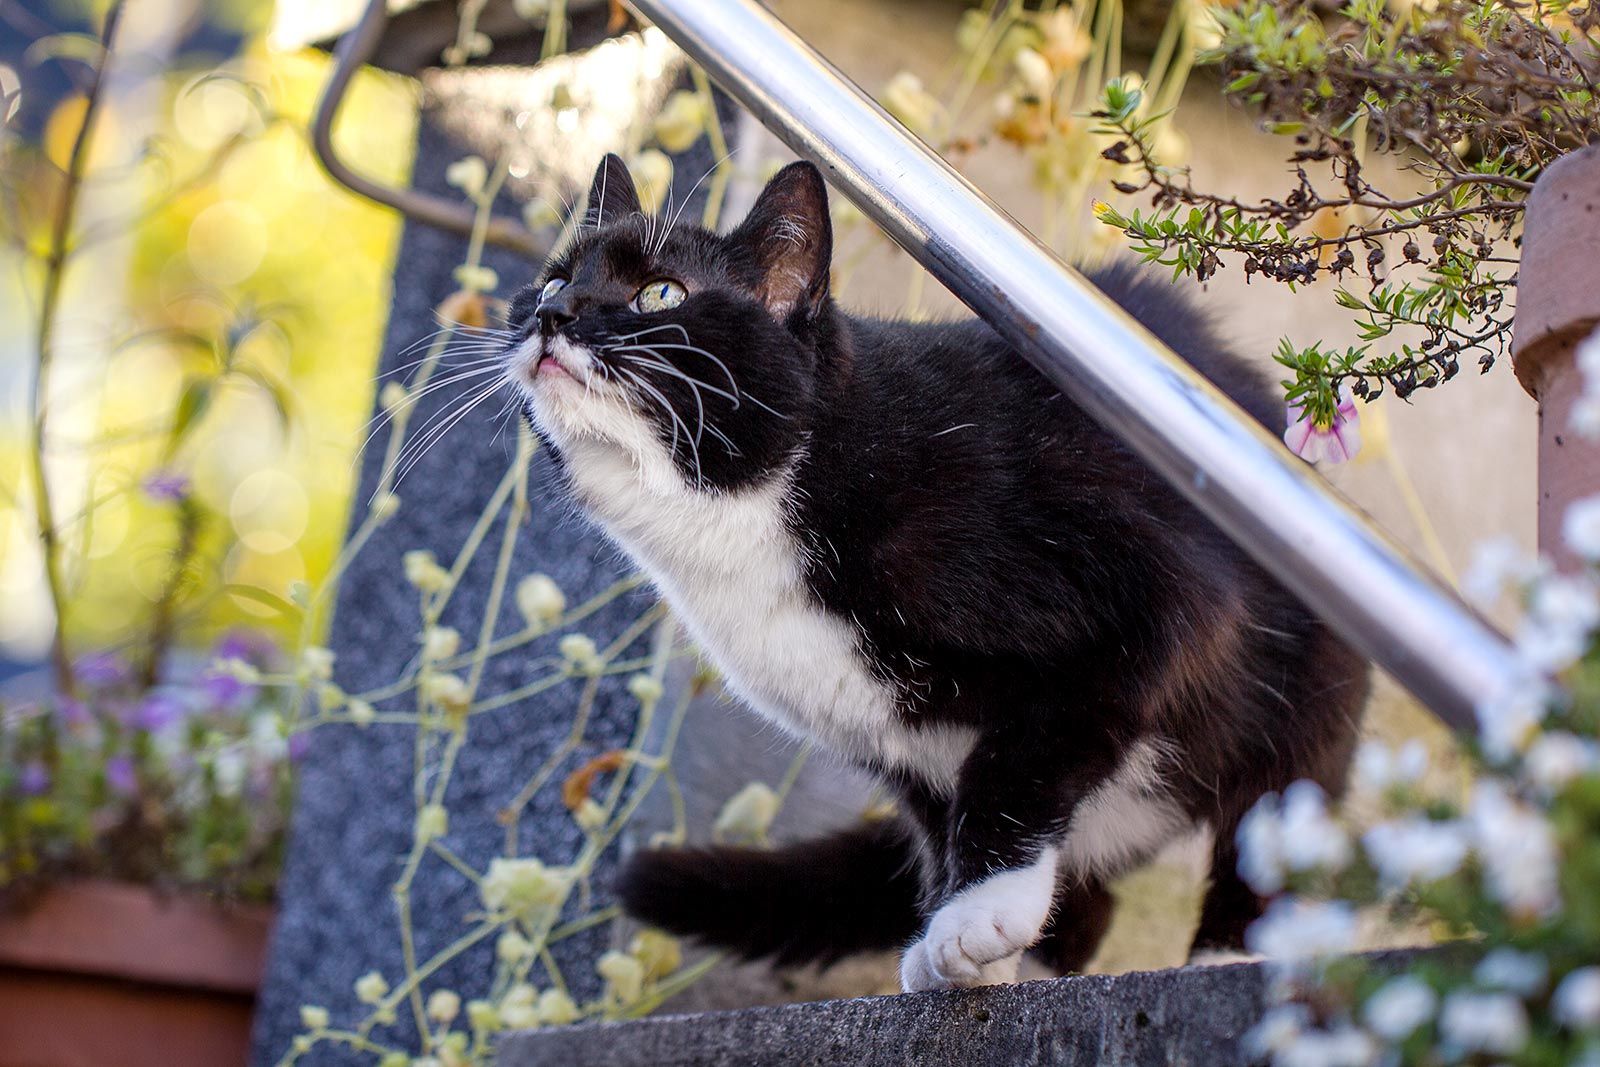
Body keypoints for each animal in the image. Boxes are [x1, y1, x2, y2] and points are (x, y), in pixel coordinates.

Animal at [505, 154, 1369, 991]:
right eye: (551, 281)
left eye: (660, 293)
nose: (553, 315)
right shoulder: (894, 746)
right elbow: (938, 815)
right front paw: (969, 947)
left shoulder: (1146, 582)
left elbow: (1022, 757)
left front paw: (980, 912)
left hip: (1305, 684)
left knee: (1275, 810)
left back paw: (1237, 951)